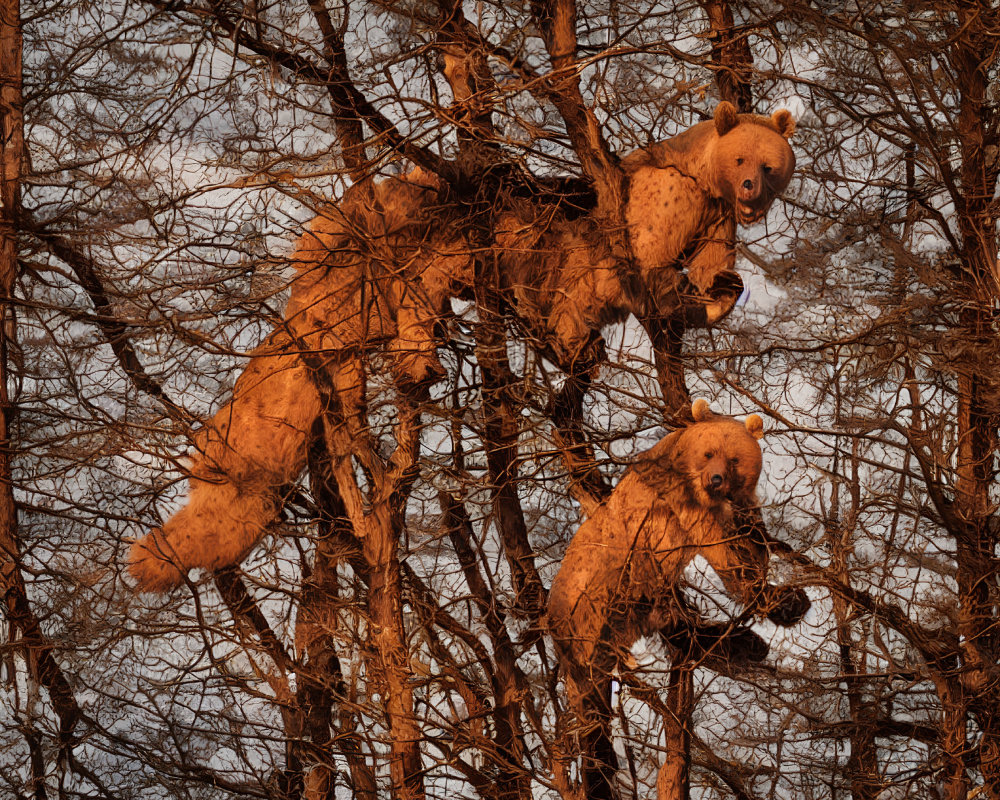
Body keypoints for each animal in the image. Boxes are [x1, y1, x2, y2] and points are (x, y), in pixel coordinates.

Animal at [127, 104, 796, 588]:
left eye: (772, 165)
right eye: (745, 156)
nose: (750, 188)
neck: (703, 190)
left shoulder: (709, 229)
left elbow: (708, 275)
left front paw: (720, 292)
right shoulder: (636, 225)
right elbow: (631, 277)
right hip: (408, 249)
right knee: (404, 311)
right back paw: (429, 366)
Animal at [544, 404, 808, 800]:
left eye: (734, 458)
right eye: (709, 452)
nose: (716, 479)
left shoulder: (737, 505)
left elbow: (754, 535)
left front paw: (786, 580)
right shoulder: (676, 505)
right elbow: (725, 550)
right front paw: (778, 599)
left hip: (642, 600)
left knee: (683, 628)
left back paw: (742, 643)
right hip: (589, 616)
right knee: (591, 707)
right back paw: (600, 769)